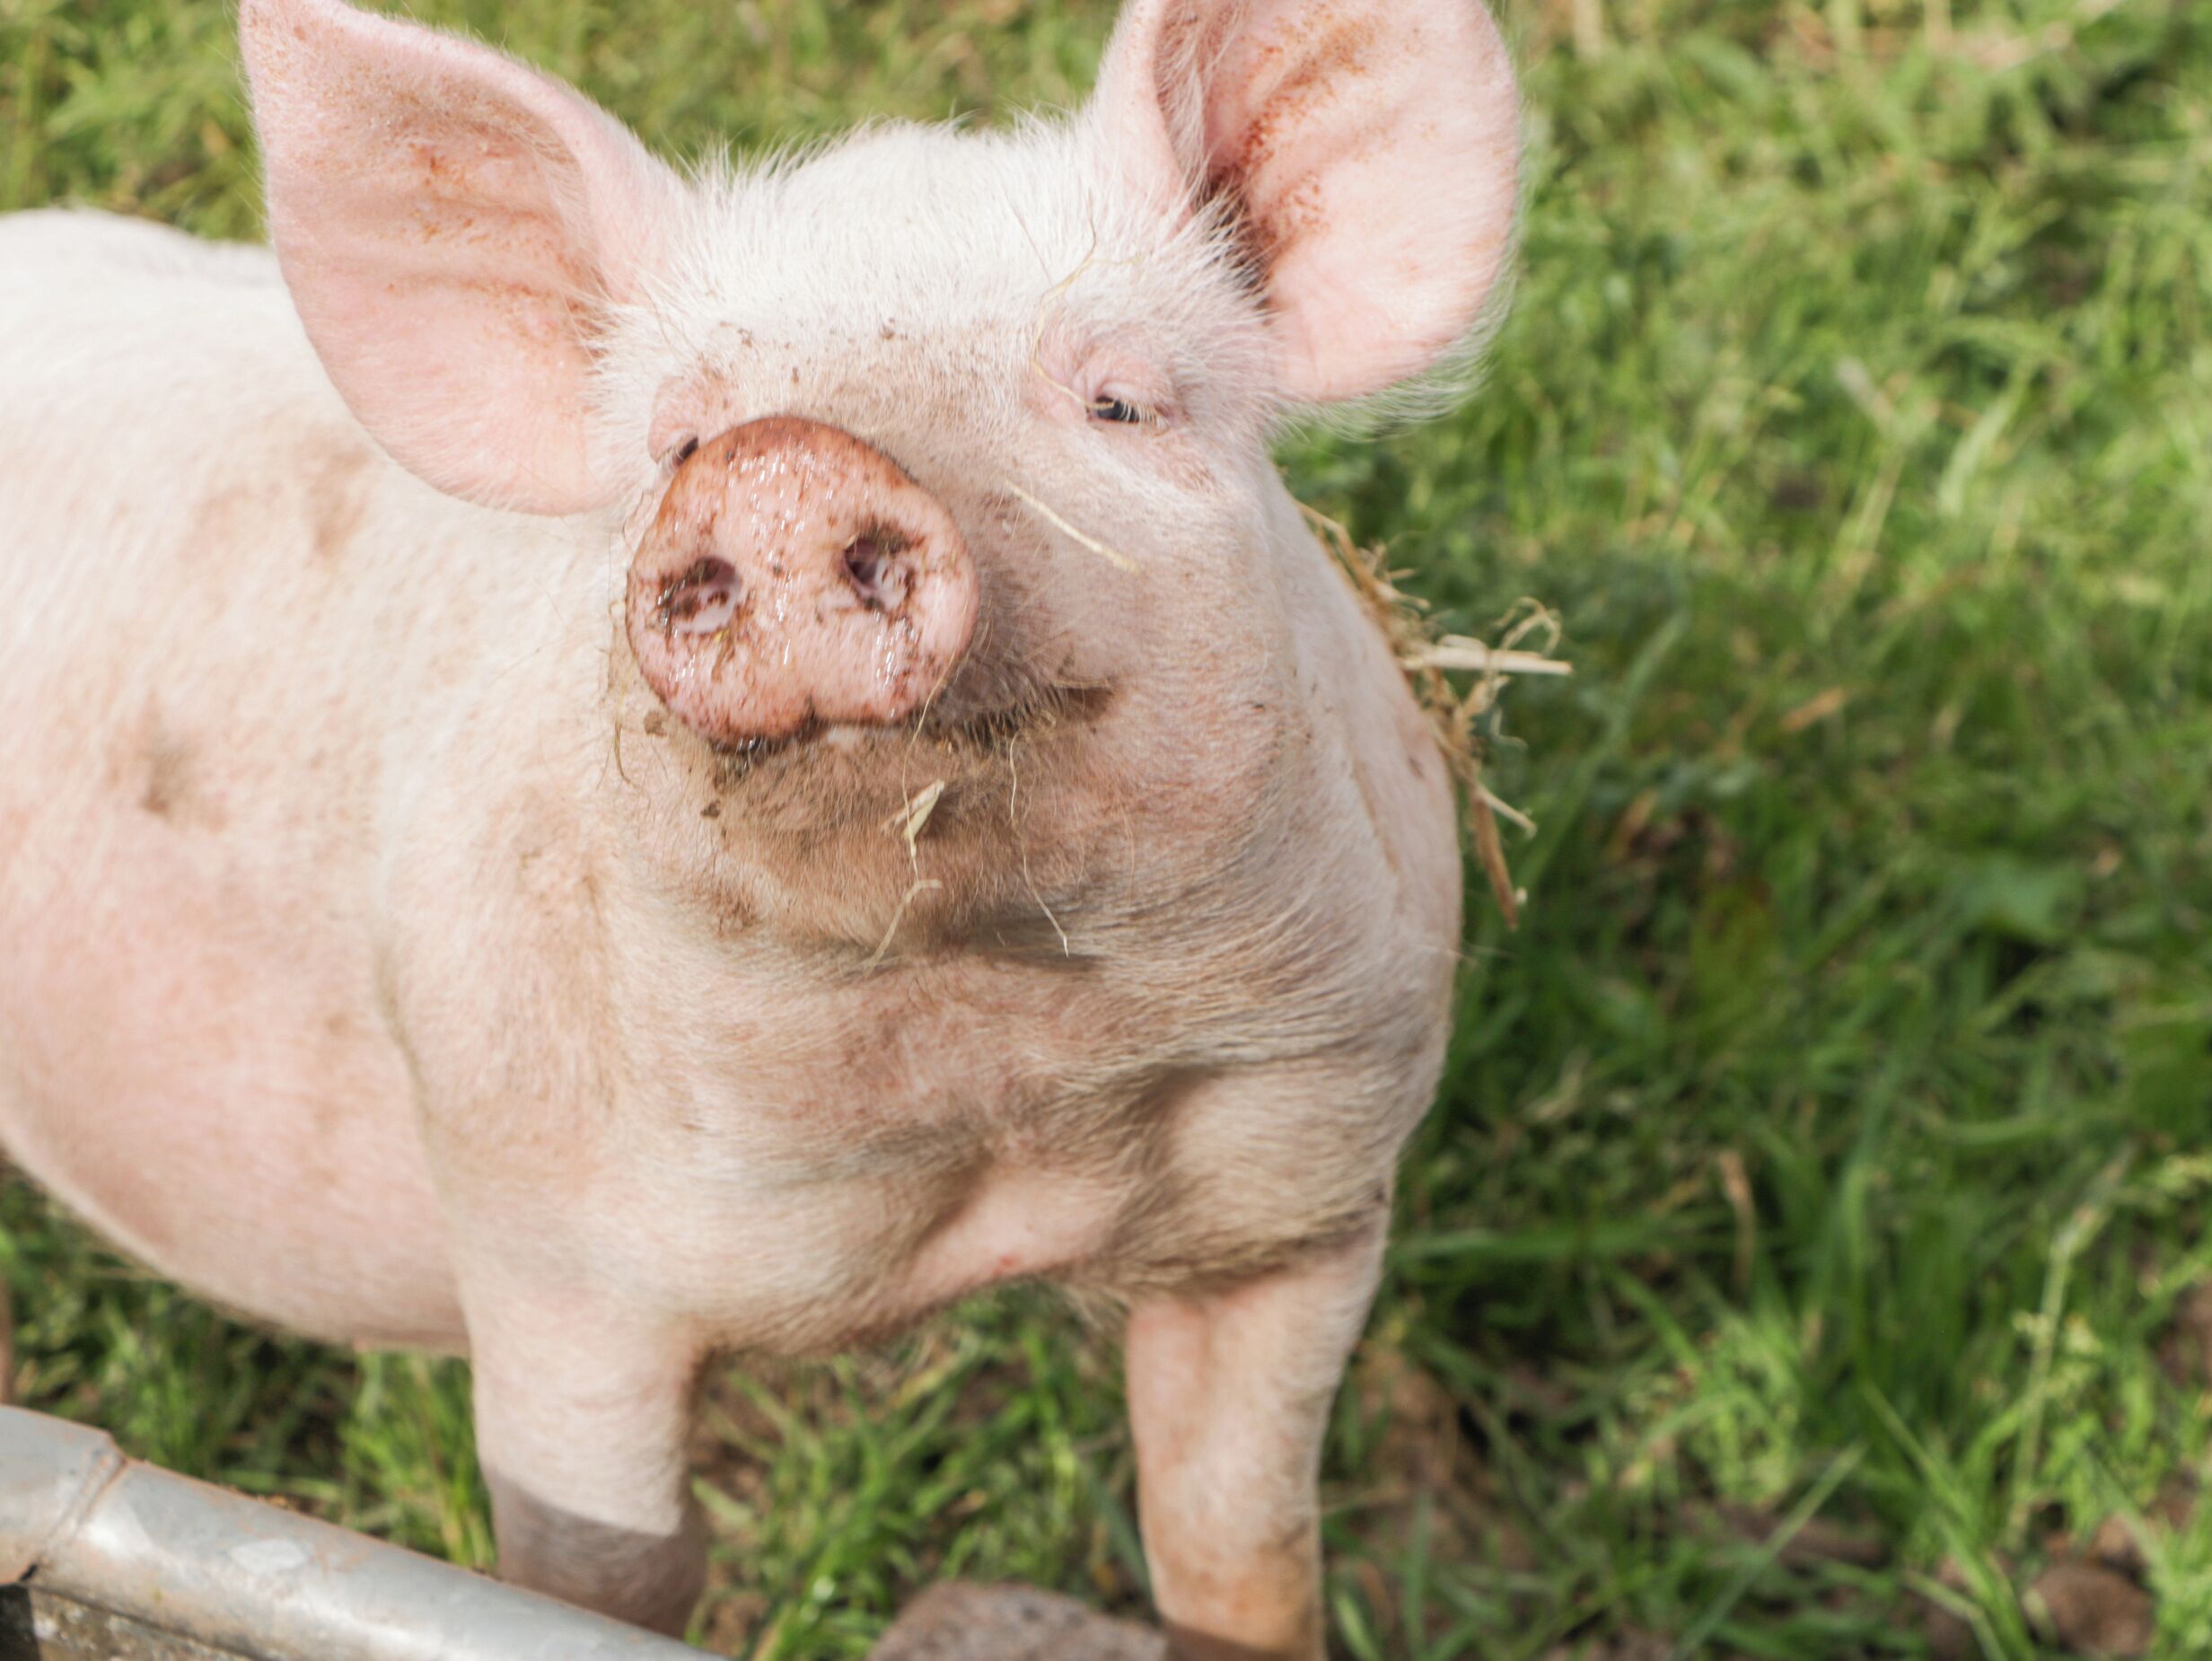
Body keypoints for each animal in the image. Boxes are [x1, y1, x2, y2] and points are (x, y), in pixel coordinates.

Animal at [0, 0, 1519, 1654]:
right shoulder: (546, 1255)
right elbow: (604, 1579)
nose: (786, 462)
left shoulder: (1313, 1184)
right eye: (679, 444)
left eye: (1119, 398)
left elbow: (1234, 1545)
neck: (1002, 1099)